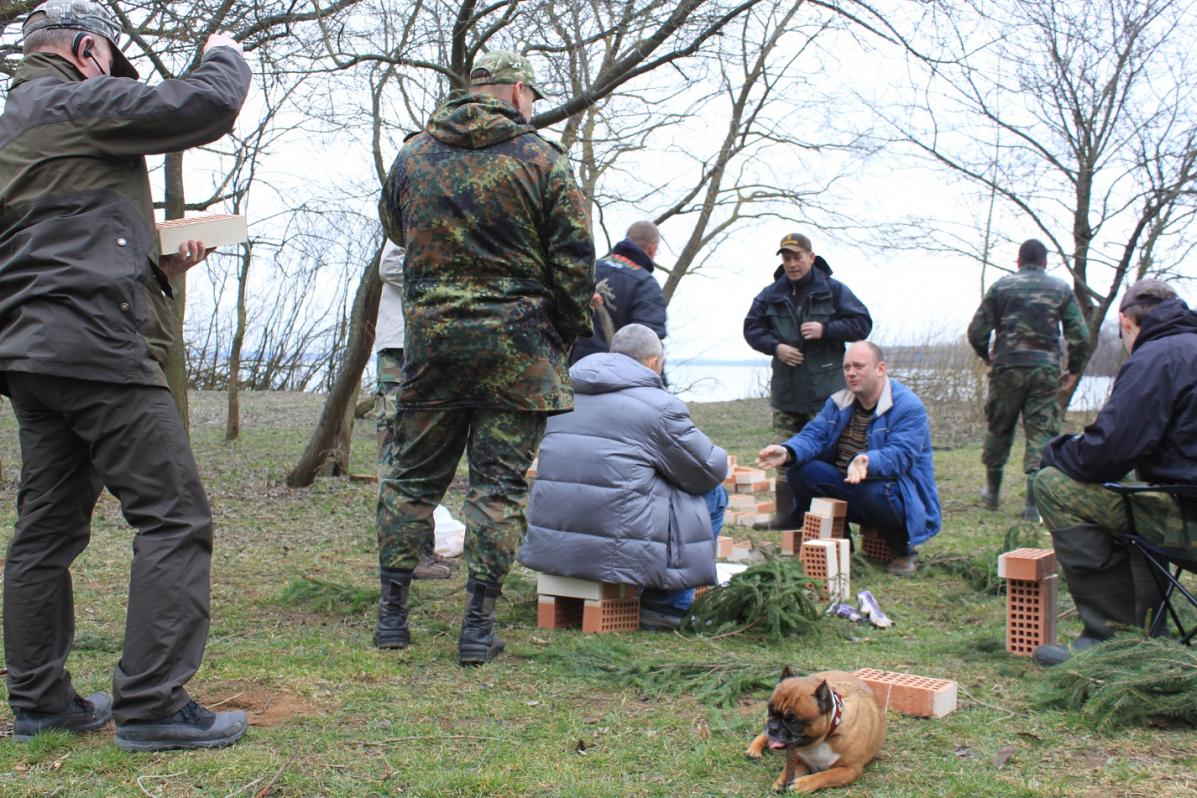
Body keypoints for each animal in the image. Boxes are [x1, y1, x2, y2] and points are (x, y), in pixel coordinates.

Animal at [746, 667, 886, 793]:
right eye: (770, 710)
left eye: (793, 721)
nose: (773, 727)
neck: (824, 738)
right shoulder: (799, 760)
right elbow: (787, 770)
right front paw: (781, 781)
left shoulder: (849, 769)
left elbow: (825, 776)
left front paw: (803, 784)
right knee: (763, 735)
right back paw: (753, 750)